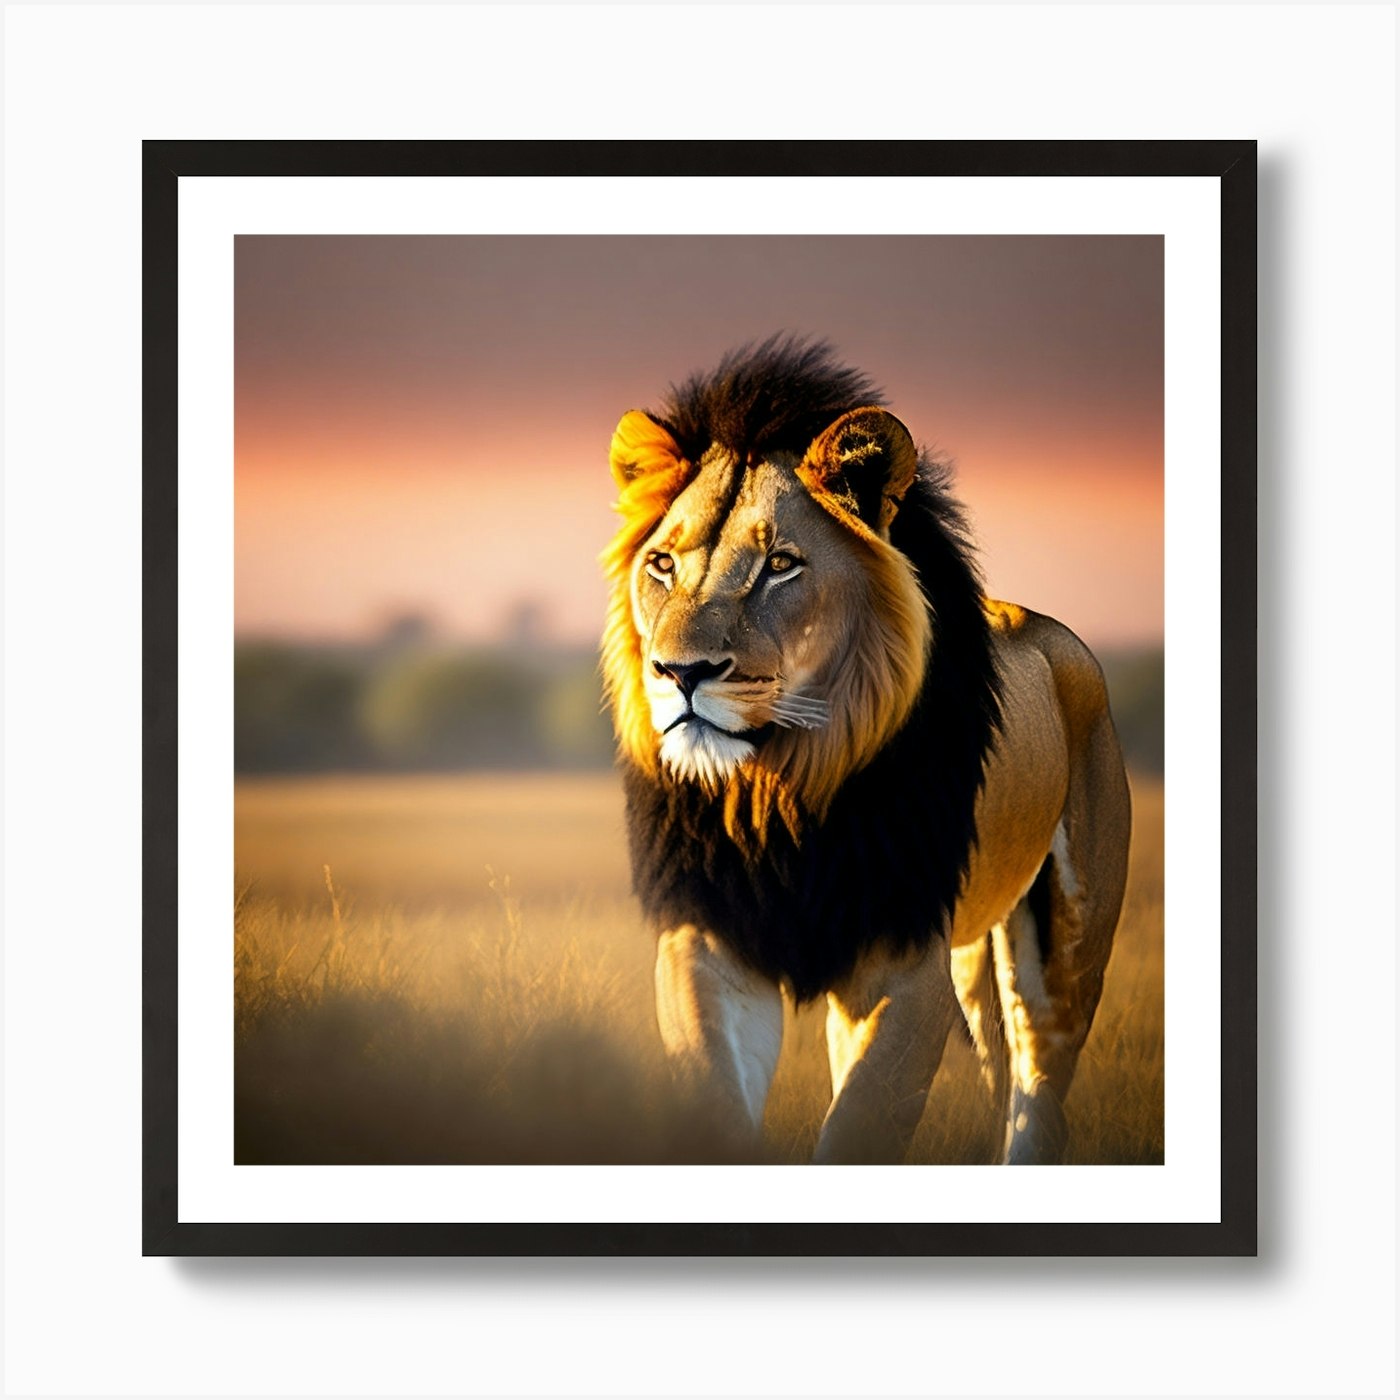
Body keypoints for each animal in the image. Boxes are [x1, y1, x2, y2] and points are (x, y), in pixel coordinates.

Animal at [601, 337, 1132, 1164]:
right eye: (662, 564)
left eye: (780, 565)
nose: (679, 672)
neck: (779, 789)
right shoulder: (708, 942)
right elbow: (716, 1107)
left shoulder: (904, 965)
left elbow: (860, 1122)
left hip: (1065, 945)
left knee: (1039, 1090)